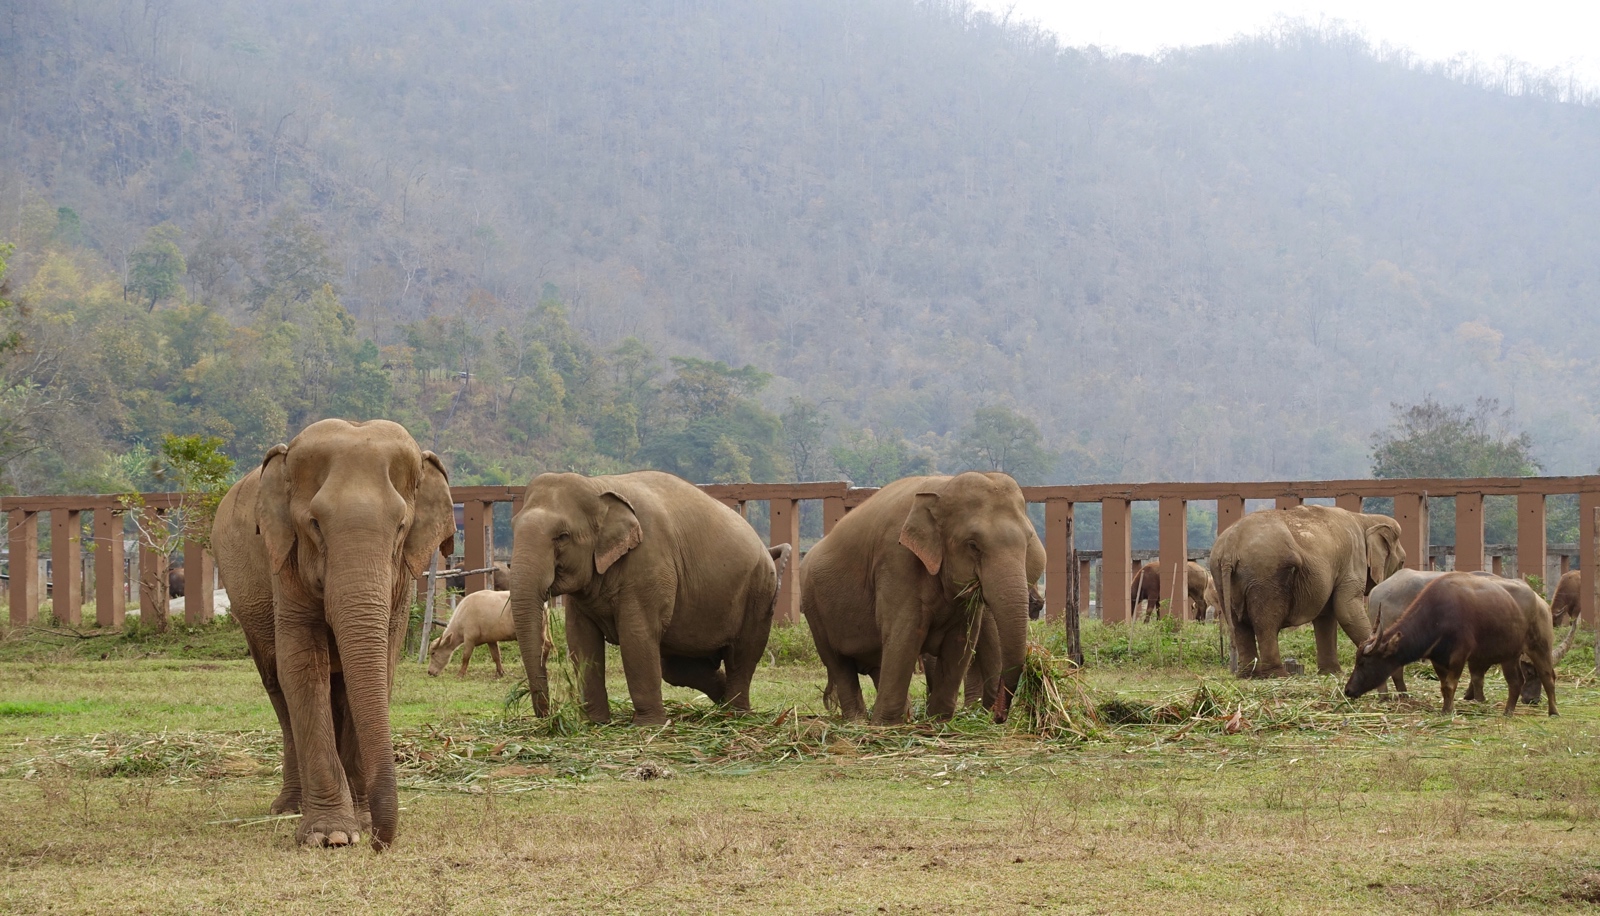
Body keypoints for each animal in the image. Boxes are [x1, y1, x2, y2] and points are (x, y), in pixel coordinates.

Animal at [211, 419, 456, 850]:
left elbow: (383, 667)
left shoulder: (401, 585)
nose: (379, 844)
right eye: (314, 524)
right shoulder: (284, 561)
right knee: (278, 687)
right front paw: (332, 836)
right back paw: (288, 808)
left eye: (401, 526)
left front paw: (360, 820)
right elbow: (302, 669)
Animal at [509, 470, 789, 726]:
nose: (548, 716)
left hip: (758, 592)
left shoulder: (650, 563)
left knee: (741, 656)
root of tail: (765, 547)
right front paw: (595, 723)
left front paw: (648, 726)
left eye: (563, 536)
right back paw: (722, 705)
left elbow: (637, 635)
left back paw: (736, 714)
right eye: (513, 527)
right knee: (677, 668)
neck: (598, 485)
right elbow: (581, 640)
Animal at [801, 472, 1038, 725]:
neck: (943, 487)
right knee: (838, 663)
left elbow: (960, 643)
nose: (998, 716)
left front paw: (938, 722)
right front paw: (886, 726)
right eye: (973, 545)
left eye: (1028, 542)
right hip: (813, 609)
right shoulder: (896, 559)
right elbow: (904, 633)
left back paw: (902, 716)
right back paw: (859, 722)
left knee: (877, 662)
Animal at [1209, 505, 1405, 678]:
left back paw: (1249, 675)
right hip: (1265, 576)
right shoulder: (1353, 561)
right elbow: (1346, 609)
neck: (1364, 518)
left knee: (1239, 624)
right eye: (1402, 562)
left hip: (1222, 577)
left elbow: (1327, 616)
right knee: (1266, 624)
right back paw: (1279, 675)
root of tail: (1229, 549)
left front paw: (1332, 673)